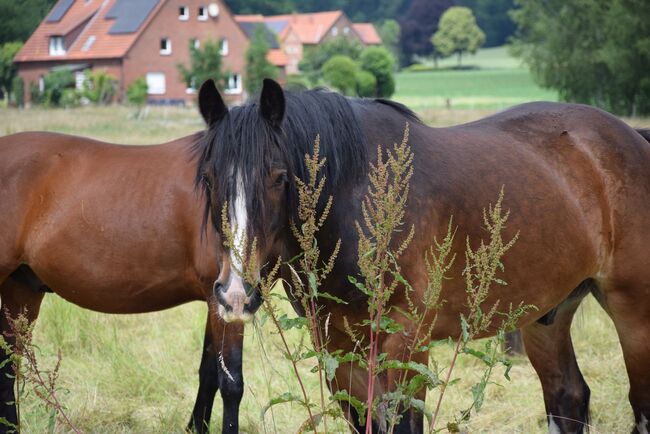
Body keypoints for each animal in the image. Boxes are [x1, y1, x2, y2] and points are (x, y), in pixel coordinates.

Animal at [194, 78, 650, 433]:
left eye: (279, 177)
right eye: (210, 179)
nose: (235, 294)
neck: (360, 198)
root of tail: (631, 137)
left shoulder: (406, 346)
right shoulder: (340, 350)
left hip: (633, 314)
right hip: (546, 318)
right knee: (567, 397)